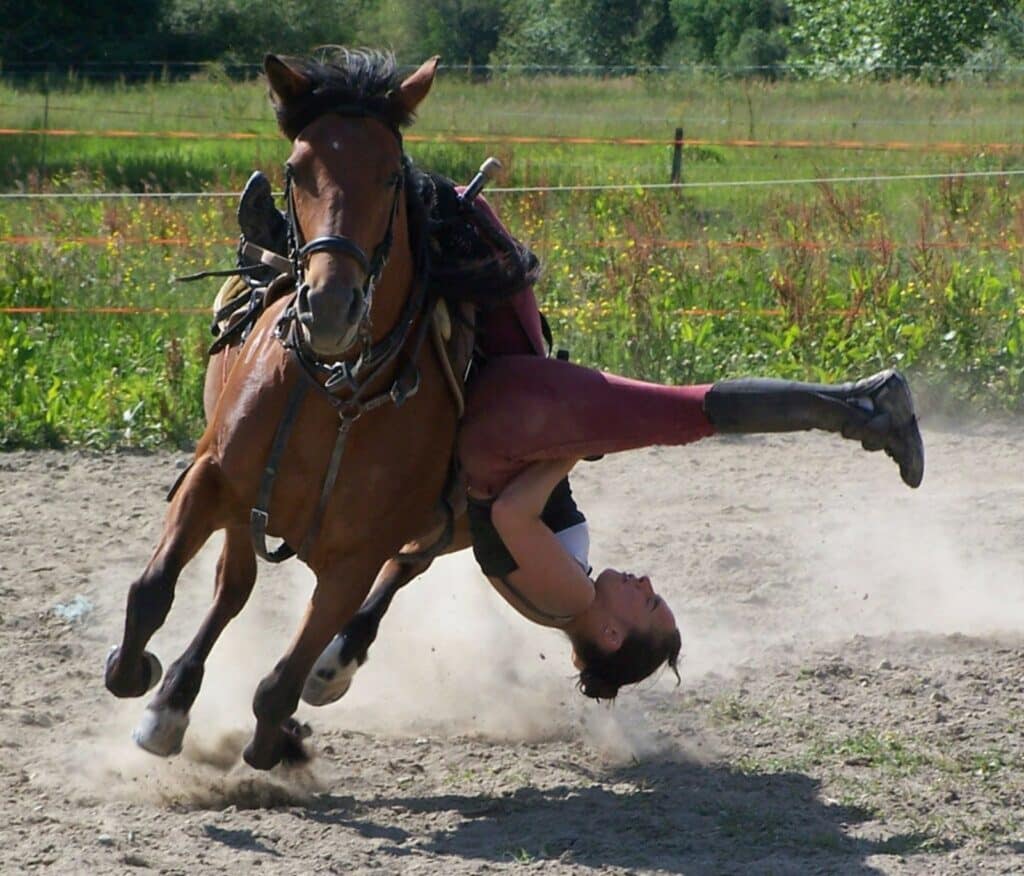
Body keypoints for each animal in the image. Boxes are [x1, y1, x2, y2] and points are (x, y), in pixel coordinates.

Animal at [101, 51, 462, 770]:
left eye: (389, 172)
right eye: (297, 169)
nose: (328, 306)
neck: (339, 395)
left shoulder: (356, 557)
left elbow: (281, 680)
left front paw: (279, 740)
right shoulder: (213, 478)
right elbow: (153, 591)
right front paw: (136, 676)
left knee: (404, 570)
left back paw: (331, 668)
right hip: (247, 507)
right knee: (232, 586)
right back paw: (173, 700)